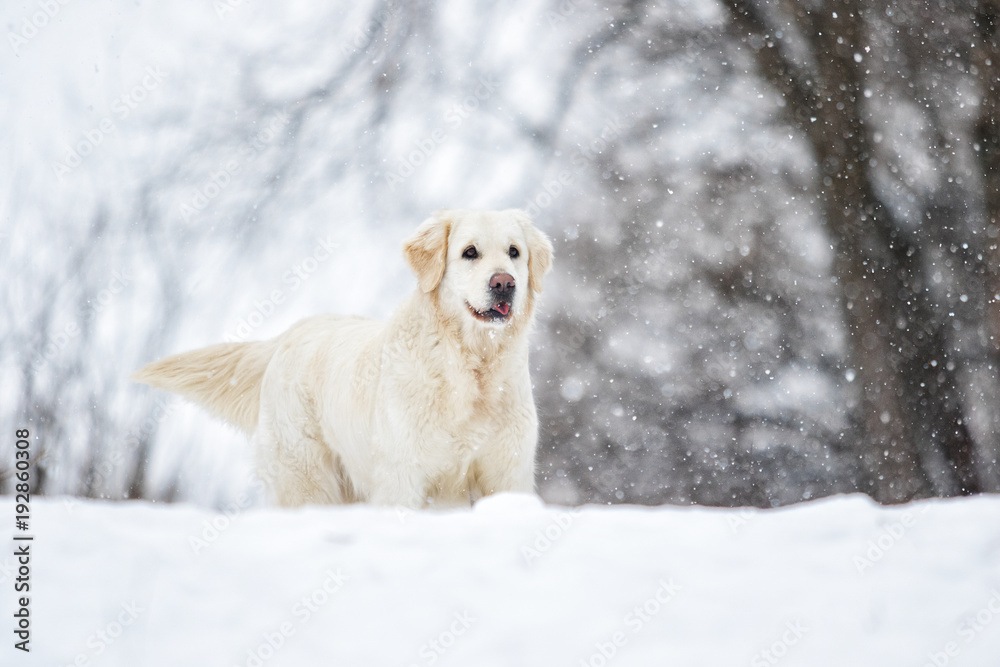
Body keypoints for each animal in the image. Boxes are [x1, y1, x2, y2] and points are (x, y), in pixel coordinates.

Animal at [131, 211, 556, 508]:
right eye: (470, 252)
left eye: (514, 252)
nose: (504, 283)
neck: (471, 366)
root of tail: (290, 332)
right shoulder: (404, 476)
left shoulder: (508, 475)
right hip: (306, 478)